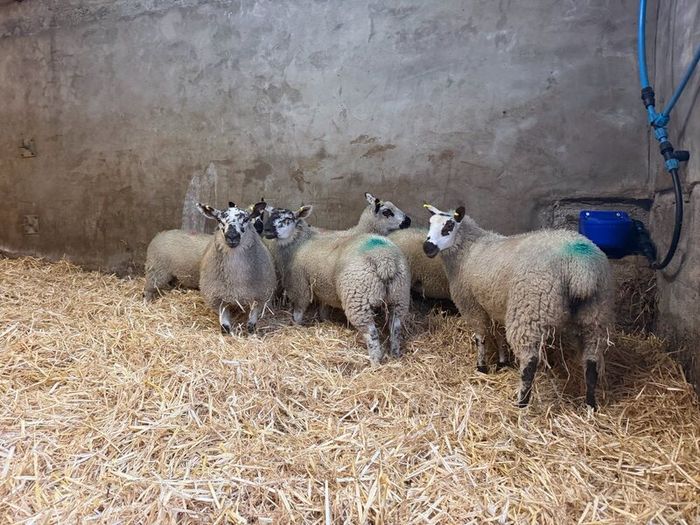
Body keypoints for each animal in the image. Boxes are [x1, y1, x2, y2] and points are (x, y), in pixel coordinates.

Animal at [197, 201, 276, 335]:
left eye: (246, 219)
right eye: (219, 220)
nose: (232, 236)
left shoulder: (260, 296)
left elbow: (252, 323)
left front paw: (251, 329)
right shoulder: (217, 297)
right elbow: (225, 326)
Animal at [262, 204, 411, 365]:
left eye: (288, 219)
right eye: (269, 215)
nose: (266, 229)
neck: (300, 241)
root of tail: (385, 261)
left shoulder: (300, 287)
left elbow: (298, 312)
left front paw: (296, 327)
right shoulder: (324, 286)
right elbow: (323, 307)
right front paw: (324, 320)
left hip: (357, 297)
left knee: (370, 332)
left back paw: (375, 361)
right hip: (399, 296)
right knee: (396, 327)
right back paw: (395, 354)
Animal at [422, 203, 613, 409]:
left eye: (448, 226)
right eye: (430, 223)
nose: (427, 247)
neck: (469, 249)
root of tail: (580, 270)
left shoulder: (470, 303)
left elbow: (480, 337)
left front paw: (481, 367)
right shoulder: (495, 303)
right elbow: (499, 334)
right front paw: (502, 362)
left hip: (529, 310)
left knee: (529, 361)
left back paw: (522, 402)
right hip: (595, 315)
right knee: (592, 360)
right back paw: (590, 403)